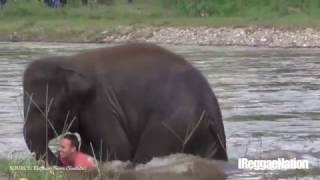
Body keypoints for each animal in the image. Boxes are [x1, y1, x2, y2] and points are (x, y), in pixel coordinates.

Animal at [22, 43, 228, 165]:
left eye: (47, 108)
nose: (59, 159)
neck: (70, 61)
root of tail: (210, 108)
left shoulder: (101, 105)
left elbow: (117, 149)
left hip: (173, 125)